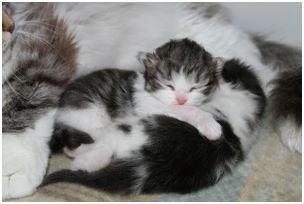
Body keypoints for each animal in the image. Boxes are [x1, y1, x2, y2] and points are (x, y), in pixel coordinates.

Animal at [42, 38, 266, 194]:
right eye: (169, 85)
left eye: (195, 88)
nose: (181, 99)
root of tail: (59, 110)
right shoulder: (147, 105)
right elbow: (185, 110)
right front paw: (210, 126)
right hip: (88, 112)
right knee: (97, 137)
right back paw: (85, 159)